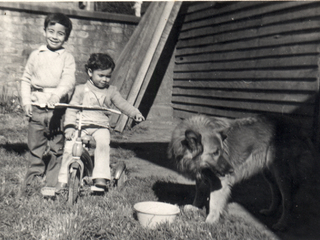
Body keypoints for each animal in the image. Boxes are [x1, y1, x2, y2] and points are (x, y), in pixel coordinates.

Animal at [168, 114, 318, 231]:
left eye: (222, 151)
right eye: (215, 153)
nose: (231, 170)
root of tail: (298, 126)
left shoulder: (219, 182)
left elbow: (214, 203)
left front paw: (209, 221)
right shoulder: (201, 177)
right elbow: (199, 194)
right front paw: (194, 207)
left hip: (282, 173)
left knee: (288, 200)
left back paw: (282, 224)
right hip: (269, 173)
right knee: (277, 194)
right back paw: (270, 211)